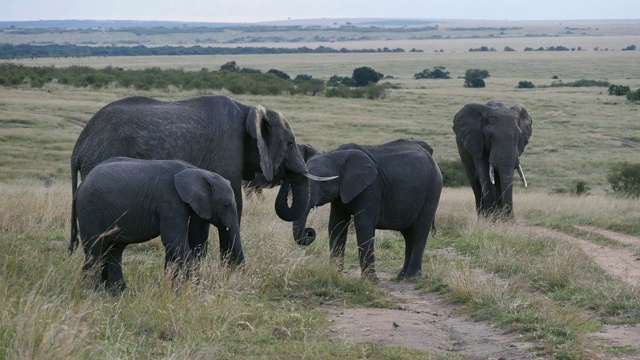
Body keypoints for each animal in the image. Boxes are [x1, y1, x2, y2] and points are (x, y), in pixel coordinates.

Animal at [69, 158, 245, 292]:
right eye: (226, 205)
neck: (197, 171)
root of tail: (80, 186)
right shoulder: (170, 201)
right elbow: (173, 240)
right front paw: (194, 288)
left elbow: (176, 243)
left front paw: (174, 288)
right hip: (91, 211)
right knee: (95, 249)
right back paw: (95, 292)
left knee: (113, 250)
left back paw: (120, 293)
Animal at [70, 95, 332, 264]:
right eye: (290, 144)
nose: (310, 234)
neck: (248, 110)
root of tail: (78, 147)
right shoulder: (227, 149)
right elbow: (234, 202)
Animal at [288, 138, 442, 282]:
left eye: (323, 182)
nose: (309, 232)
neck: (336, 155)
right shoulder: (342, 192)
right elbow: (336, 225)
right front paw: (334, 273)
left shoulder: (371, 188)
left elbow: (363, 225)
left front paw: (371, 281)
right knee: (409, 234)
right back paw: (402, 277)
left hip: (432, 190)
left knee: (420, 230)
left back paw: (411, 277)